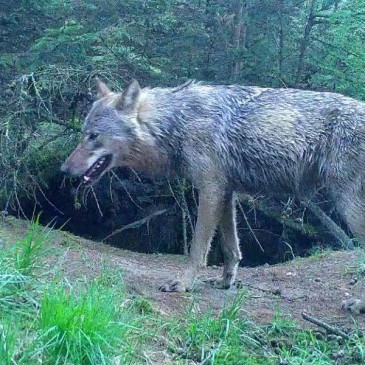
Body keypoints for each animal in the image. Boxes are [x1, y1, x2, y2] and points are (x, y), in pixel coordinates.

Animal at [61, 77, 364, 312]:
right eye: (82, 133)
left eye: (93, 136)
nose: (63, 170)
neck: (177, 122)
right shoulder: (226, 192)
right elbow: (232, 249)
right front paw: (225, 282)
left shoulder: (210, 190)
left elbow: (197, 249)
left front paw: (183, 284)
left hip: (348, 206)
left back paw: (358, 305)